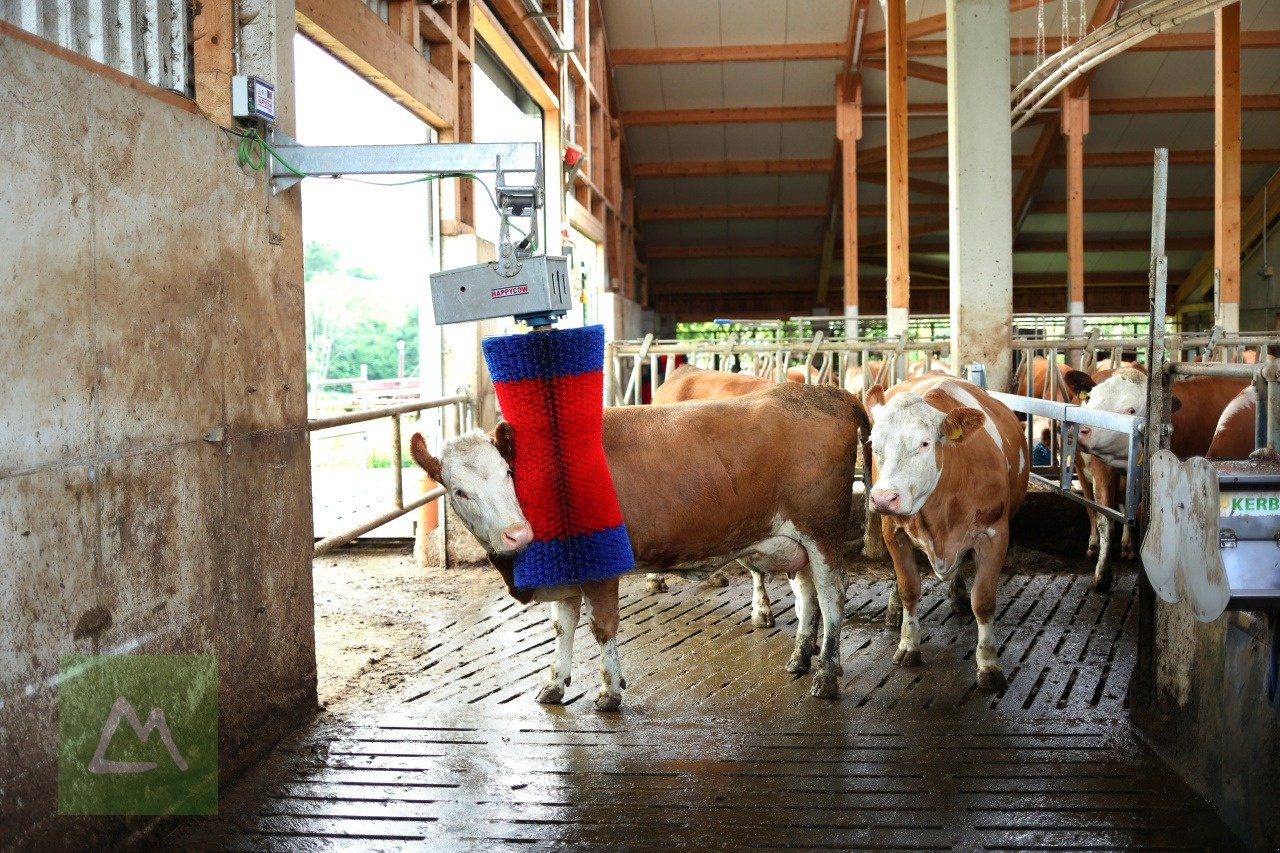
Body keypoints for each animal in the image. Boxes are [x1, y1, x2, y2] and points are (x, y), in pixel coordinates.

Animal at [409, 381, 870, 706]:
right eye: (458, 491)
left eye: (508, 474)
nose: (516, 532)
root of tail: (829, 392)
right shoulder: (565, 576)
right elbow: (562, 627)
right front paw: (554, 684)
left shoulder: (601, 570)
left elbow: (602, 627)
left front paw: (609, 692)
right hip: (796, 545)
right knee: (808, 596)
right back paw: (801, 658)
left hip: (822, 534)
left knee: (832, 597)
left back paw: (826, 675)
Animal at [860, 376, 1029, 686]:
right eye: (874, 444)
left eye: (925, 443)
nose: (884, 499)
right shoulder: (894, 531)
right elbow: (909, 588)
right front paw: (908, 644)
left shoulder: (995, 535)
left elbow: (983, 600)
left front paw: (989, 664)